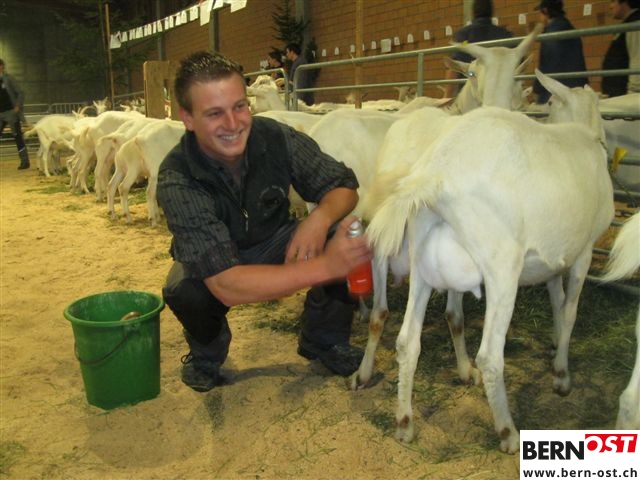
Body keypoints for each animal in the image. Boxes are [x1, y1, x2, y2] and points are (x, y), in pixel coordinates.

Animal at [362, 70, 614, 454]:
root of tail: (434, 174)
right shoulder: (583, 251)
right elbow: (570, 312)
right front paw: (562, 374)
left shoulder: (552, 258)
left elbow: (557, 303)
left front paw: (555, 348)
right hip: (501, 267)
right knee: (491, 358)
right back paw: (508, 432)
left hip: (422, 264)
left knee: (406, 341)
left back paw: (404, 422)